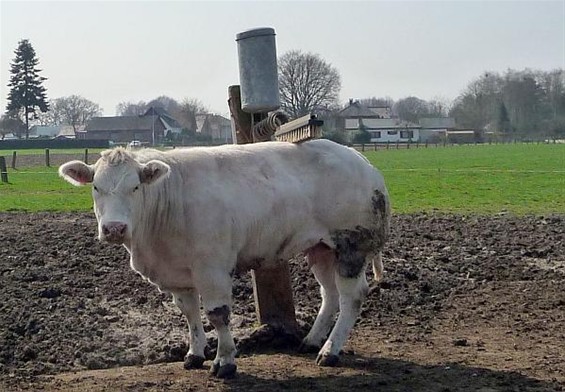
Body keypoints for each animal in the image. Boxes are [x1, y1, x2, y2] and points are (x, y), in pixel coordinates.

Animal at [59, 139, 390, 378]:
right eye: (96, 187)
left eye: (135, 187)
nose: (114, 228)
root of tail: (360, 159)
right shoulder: (178, 273)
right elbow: (190, 313)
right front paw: (194, 354)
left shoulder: (212, 268)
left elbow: (217, 315)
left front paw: (225, 361)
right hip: (320, 248)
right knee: (329, 294)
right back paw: (312, 340)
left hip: (350, 246)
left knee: (351, 297)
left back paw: (330, 351)